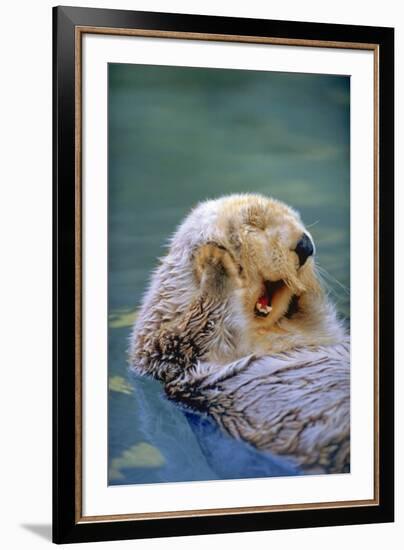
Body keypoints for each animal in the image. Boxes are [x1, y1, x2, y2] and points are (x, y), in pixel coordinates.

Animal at [130, 194, 350, 474]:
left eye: (298, 221)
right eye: (255, 225)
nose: (306, 245)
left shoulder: (320, 331)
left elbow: (320, 319)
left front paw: (308, 285)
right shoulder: (169, 350)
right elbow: (197, 328)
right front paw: (214, 260)